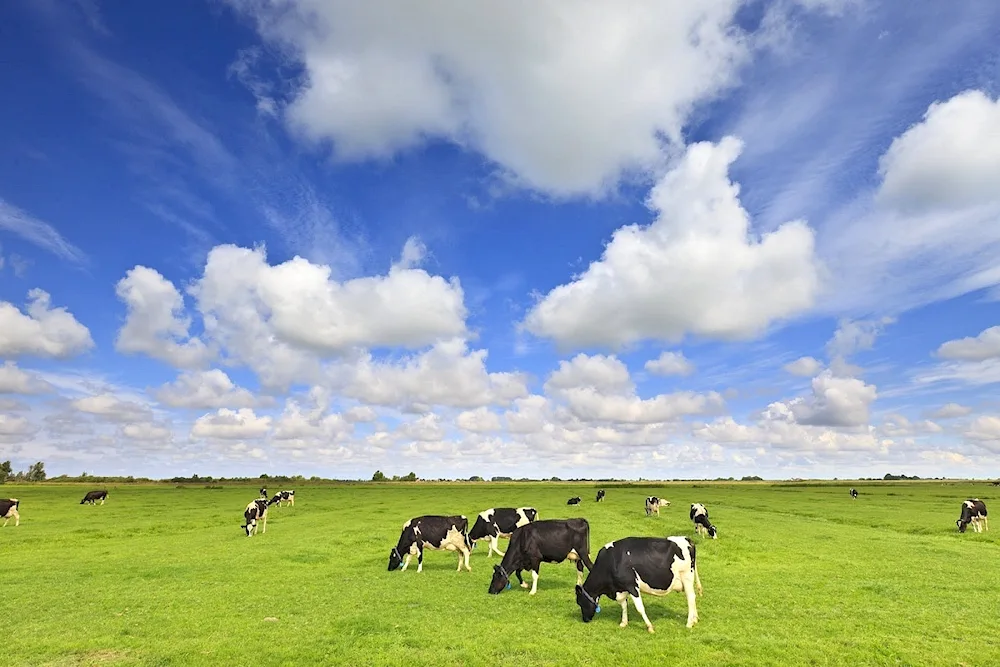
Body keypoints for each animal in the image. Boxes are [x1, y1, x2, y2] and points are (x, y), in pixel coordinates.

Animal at [572, 536, 704, 636]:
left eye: (580, 602)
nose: (585, 620)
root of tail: (687, 539)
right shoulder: (621, 588)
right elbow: (623, 605)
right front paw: (624, 623)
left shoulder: (632, 585)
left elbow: (640, 608)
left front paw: (650, 627)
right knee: (693, 597)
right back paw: (695, 619)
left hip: (686, 576)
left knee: (690, 598)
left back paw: (689, 623)